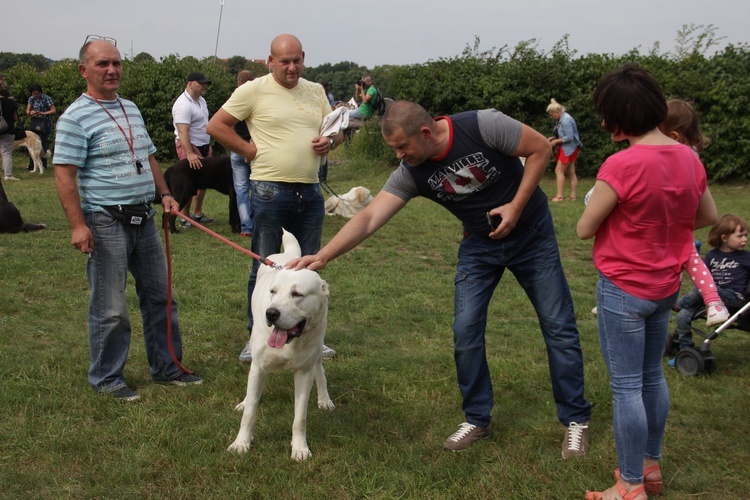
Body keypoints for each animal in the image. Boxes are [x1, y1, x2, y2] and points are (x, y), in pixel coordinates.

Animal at [229, 230, 334, 460]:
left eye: (297, 294)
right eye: (273, 292)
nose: (271, 313)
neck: (291, 343)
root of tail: (289, 255)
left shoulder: (304, 372)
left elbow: (300, 418)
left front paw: (300, 448)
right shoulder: (259, 367)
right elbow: (250, 411)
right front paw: (241, 444)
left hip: (317, 350)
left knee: (320, 370)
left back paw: (325, 399)